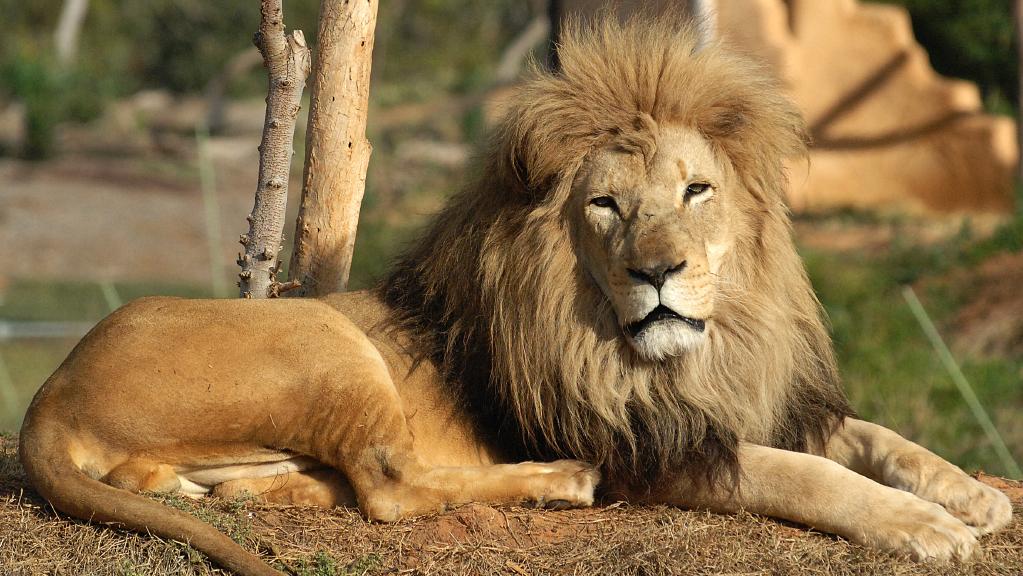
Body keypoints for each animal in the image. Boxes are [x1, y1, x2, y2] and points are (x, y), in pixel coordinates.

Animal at [19, 15, 1010, 576]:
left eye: (695, 191)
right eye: (605, 206)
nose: (657, 272)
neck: (699, 352)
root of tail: (47, 398)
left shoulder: (750, 399)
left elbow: (873, 435)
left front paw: (969, 493)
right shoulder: (654, 450)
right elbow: (811, 475)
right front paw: (925, 527)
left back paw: (277, 494)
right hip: (323, 339)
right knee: (390, 486)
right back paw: (557, 481)